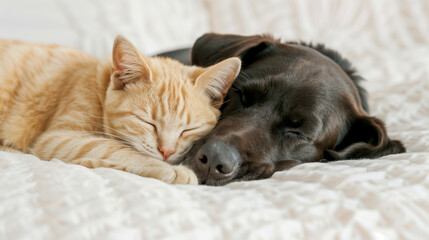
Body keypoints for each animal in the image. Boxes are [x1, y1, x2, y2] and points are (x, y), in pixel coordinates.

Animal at [0, 35, 241, 184]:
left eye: (188, 129)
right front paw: (170, 170)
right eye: (148, 122)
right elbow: (113, 147)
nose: (166, 151)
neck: (99, 87)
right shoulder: (57, 138)